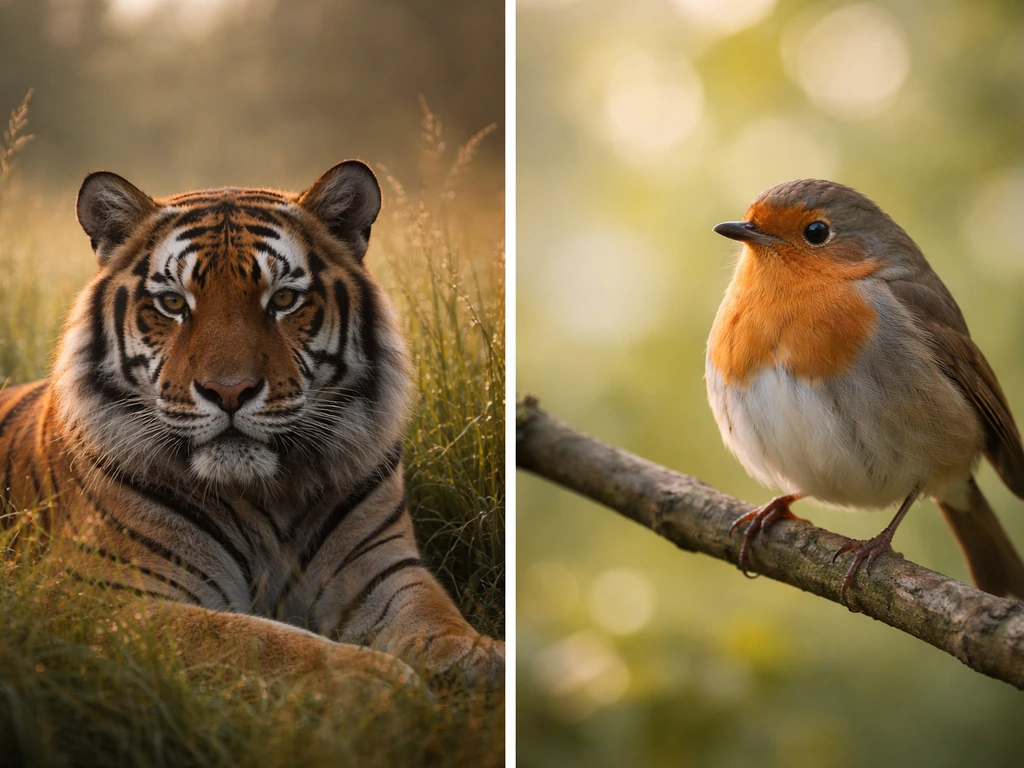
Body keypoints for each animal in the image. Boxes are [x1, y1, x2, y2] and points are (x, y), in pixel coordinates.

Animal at [0, 160, 504, 690]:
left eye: (282, 299)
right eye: (173, 304)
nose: (229, 392)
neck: (268, 493)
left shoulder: (385, 570)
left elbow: (438, 620)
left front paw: (485, 662)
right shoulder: (105, 597)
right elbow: (258, 642)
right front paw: (380, 680)